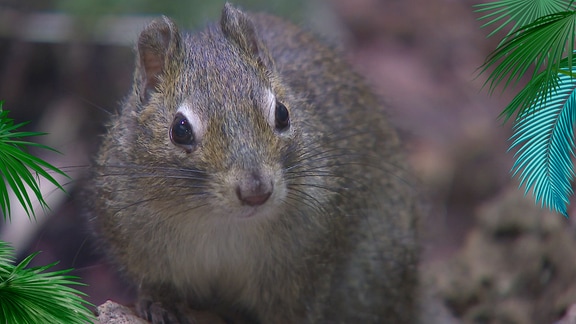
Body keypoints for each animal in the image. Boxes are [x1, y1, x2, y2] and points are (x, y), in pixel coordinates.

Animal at [90, 3, 420, 324]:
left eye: (283, 114)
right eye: (180, 130)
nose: (256, 192)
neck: (221, 224)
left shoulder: (302, 271)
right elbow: (154, 283)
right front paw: (161, 302)